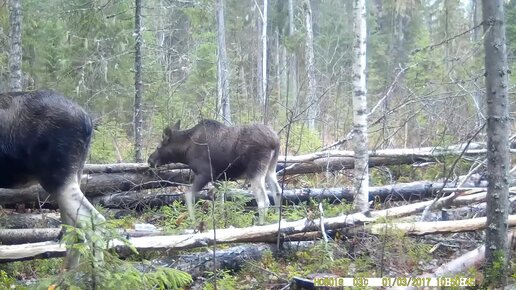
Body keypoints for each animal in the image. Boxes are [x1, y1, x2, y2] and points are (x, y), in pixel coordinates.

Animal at [147, 119, 284, 225]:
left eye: (159, 146)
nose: (150, 160)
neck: (185, 151)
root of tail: (275, 141)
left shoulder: (206, 173)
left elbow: (188, 195)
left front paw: (192, 222)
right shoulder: (219, 178)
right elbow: (221, 200)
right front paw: (221, 220)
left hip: (255, 171)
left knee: (263, 200)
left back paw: (260, 224)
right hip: (270, 169)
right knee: (277, 192)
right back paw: (276, 220)